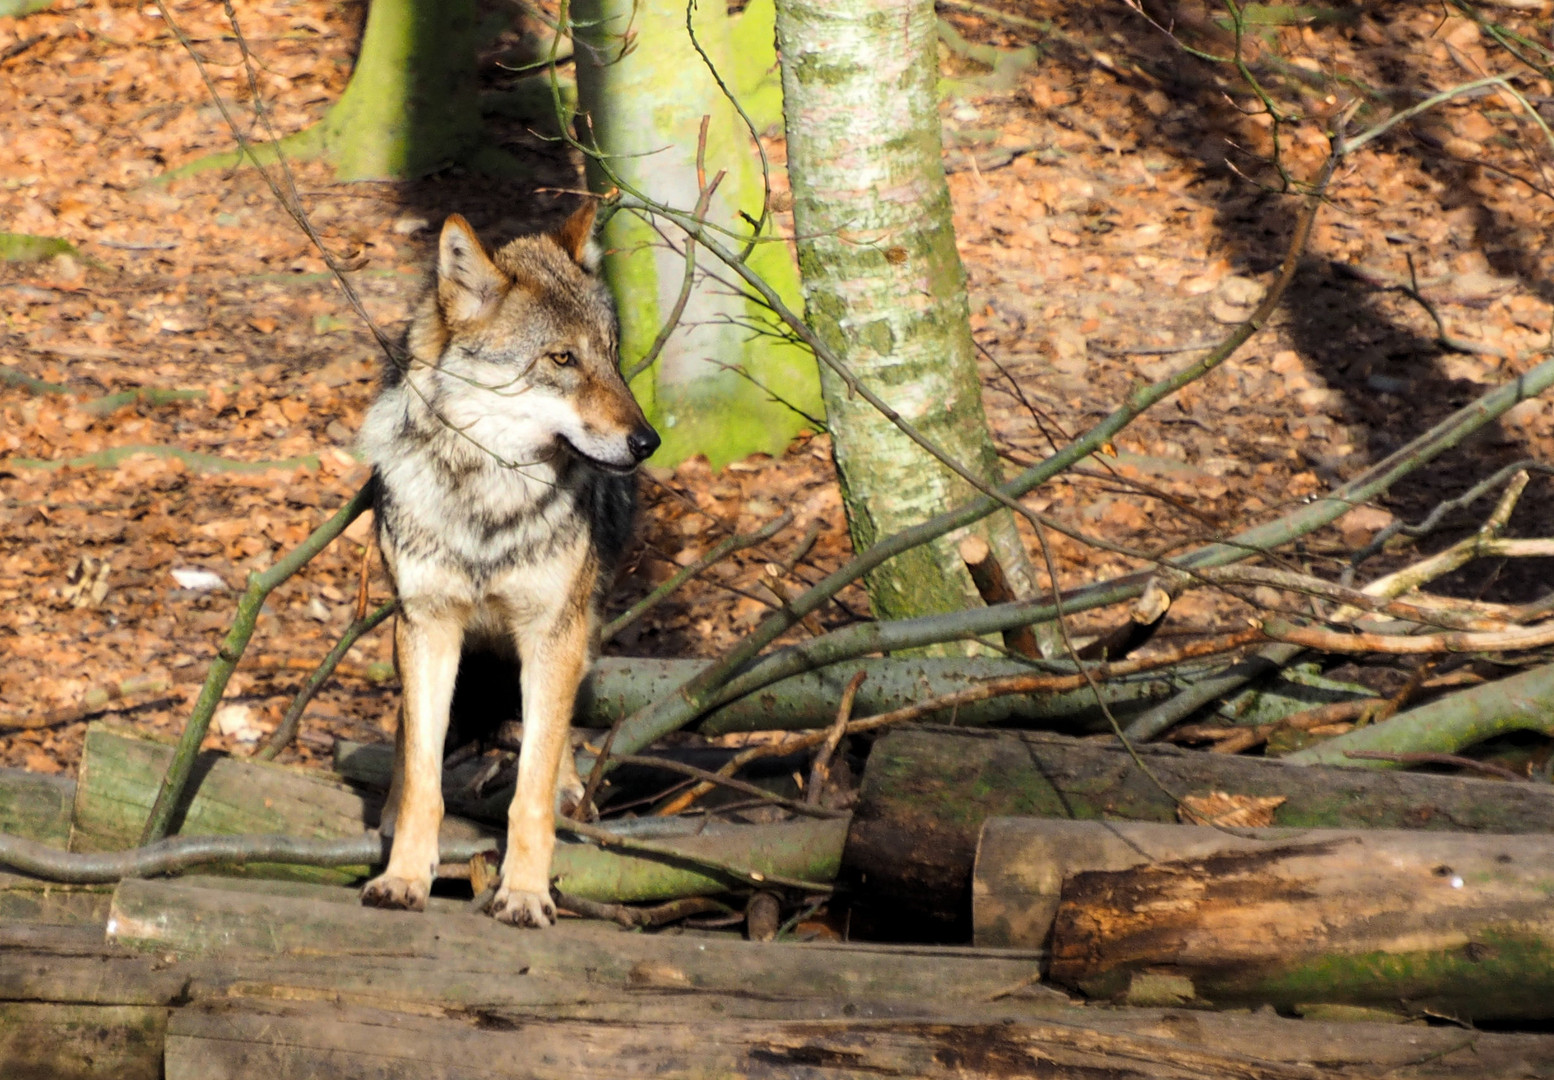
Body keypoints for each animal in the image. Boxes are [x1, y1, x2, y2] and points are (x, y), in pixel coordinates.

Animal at [355, 205, 655, 932]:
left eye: (610, 353)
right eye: (562, 358)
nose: (648, 442)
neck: (486, 504)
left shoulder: (551, 632)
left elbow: (532, 789)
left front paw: (523, 892)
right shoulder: (427, 625)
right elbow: (425, 780)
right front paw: (404, 876)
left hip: (580, 625)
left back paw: (572, 786)